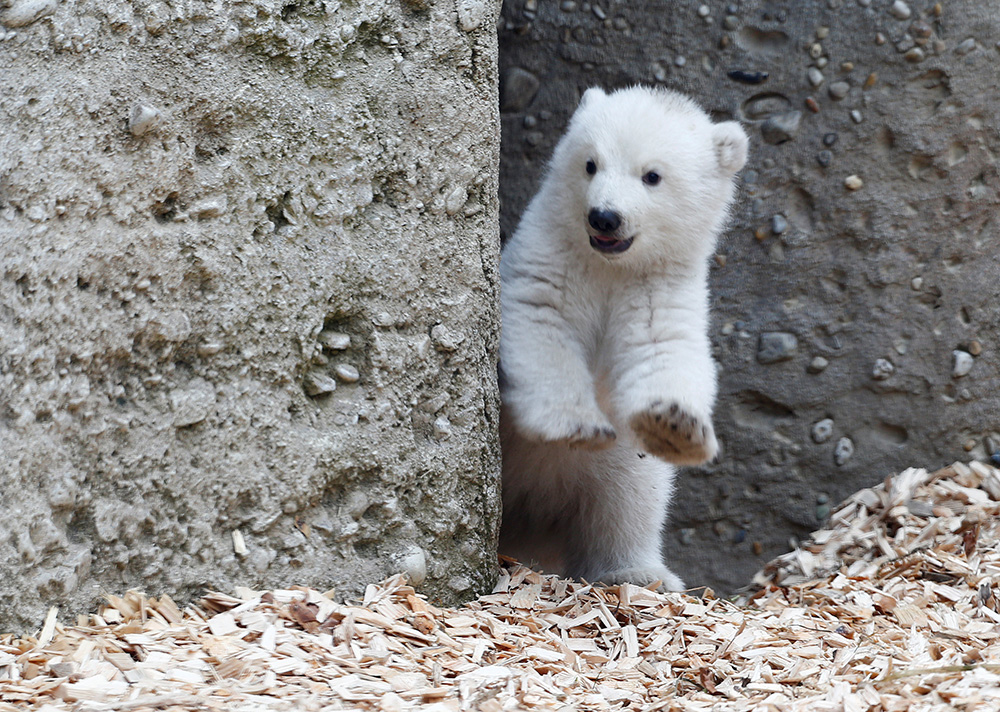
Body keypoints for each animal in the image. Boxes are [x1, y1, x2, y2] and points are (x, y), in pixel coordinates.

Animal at [498, 86, 748, 590]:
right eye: (590, 164)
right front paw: (574, 424)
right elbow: (541, 324)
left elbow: (664, 350)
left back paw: (638, 572)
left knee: (628, 500)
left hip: (616, 467)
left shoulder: (657, 285)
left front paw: (676, 425)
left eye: (652, 175)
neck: (607, 267)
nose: (605, 217)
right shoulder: (547, 261)